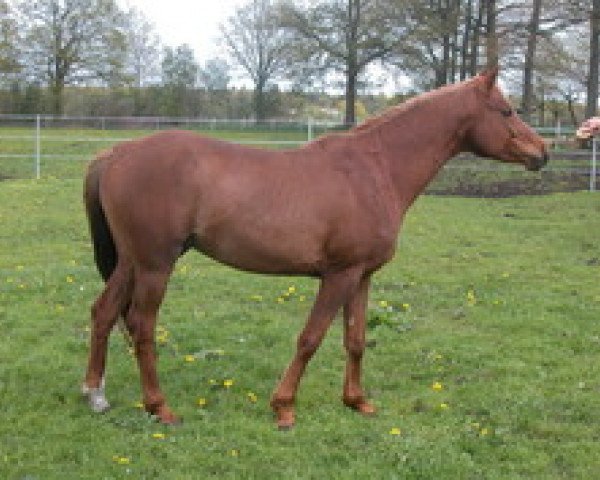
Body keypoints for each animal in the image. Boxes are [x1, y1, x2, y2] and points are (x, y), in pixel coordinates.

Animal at [82, 66, 548, 428]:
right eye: (506, 110)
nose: (542, 152)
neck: (373, 168)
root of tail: (116, 153)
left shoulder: (361, 276)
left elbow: (356, 339)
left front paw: (357, 402)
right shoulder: (339, 275)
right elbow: (310, 338)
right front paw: (284, 407)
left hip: (132, 263)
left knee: (104, 313)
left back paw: (95, 394)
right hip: (155, 266)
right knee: (141, 326)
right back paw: (158, 407)